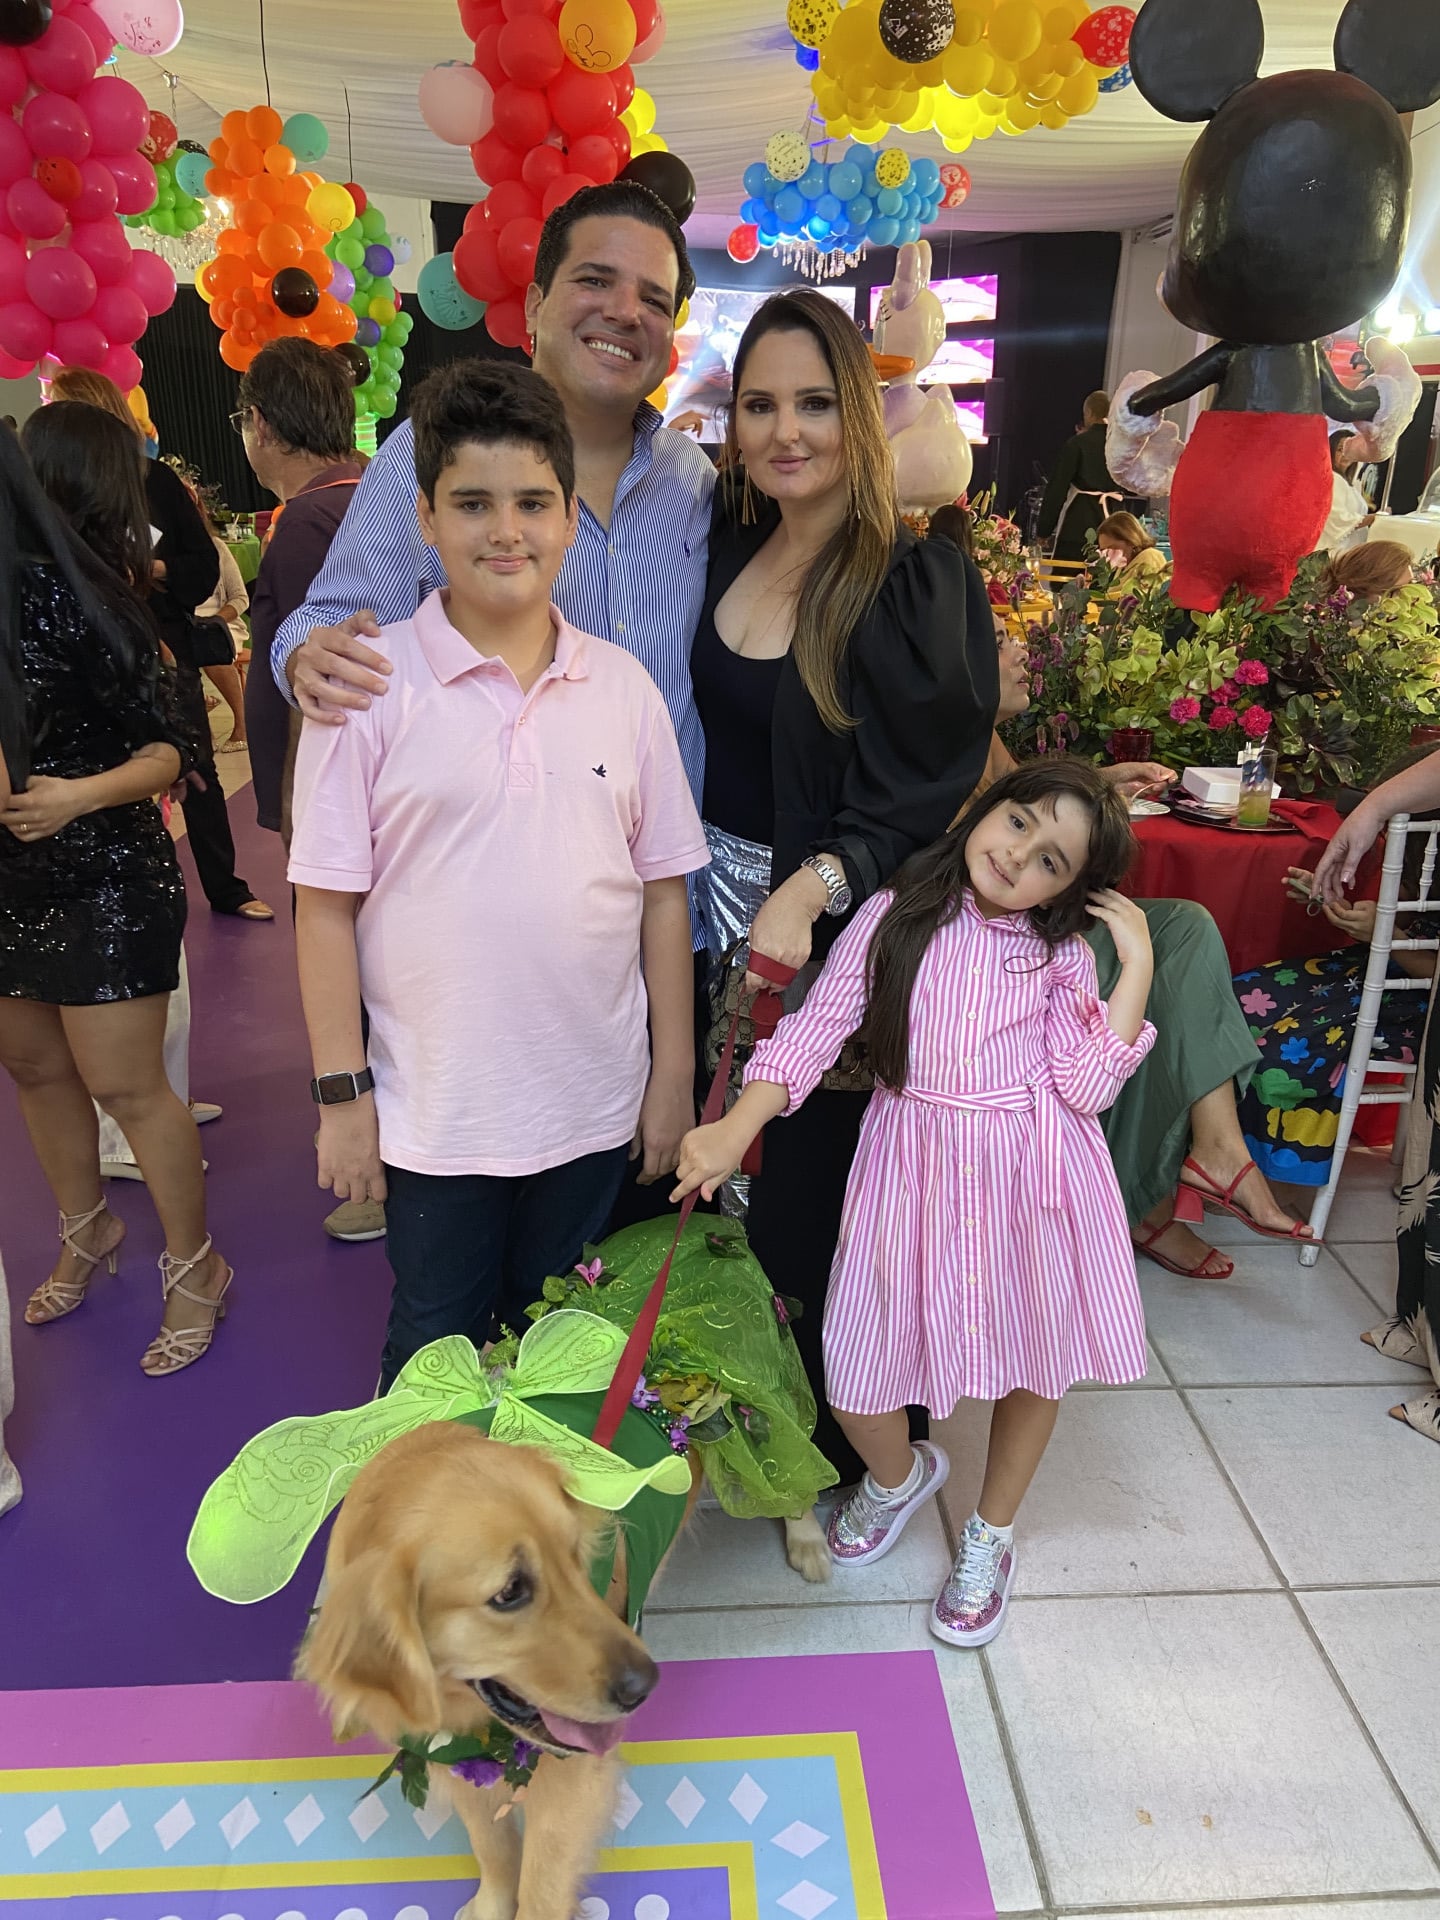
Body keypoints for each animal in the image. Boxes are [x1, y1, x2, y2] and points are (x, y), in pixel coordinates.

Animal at [298, 1418, 704, 1920]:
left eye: (574, 1555)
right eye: (510, 1592)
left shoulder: (570, 1784)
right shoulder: (456, 1755)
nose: (644, 1686)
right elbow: (490, 1843)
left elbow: (541, 1889)